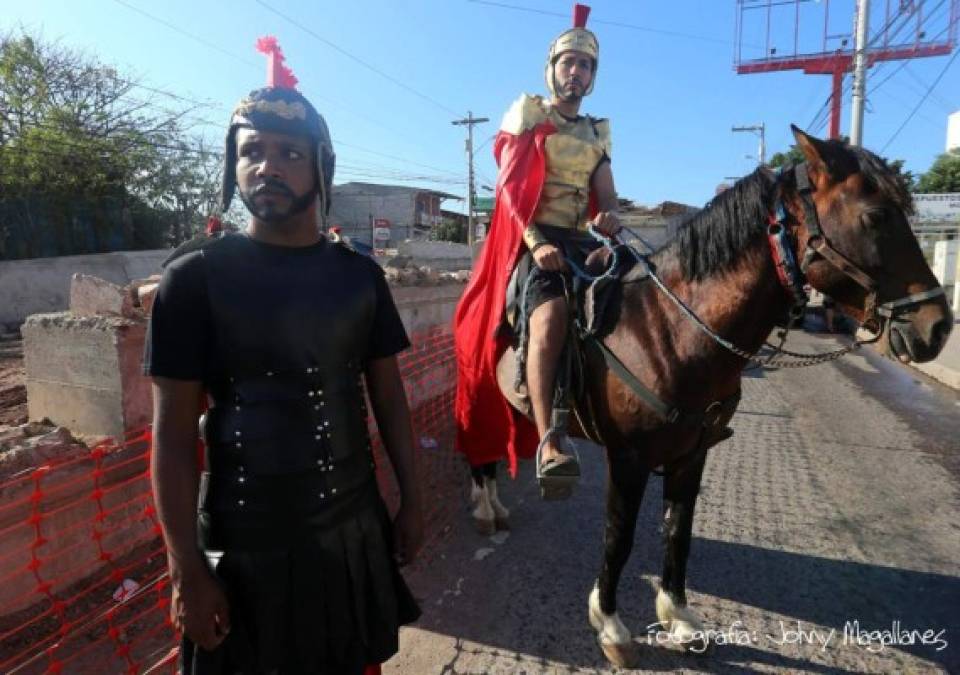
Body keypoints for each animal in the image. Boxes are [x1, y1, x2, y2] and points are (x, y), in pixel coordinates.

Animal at [484, 125, 956, 664]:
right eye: (875, 216)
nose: (938, 327)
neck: (671, 329)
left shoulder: (693, 453)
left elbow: (678, 530)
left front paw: (679, 617)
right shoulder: (628, 458)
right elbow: (619, 536)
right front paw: (610, 625)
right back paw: (490, 507)